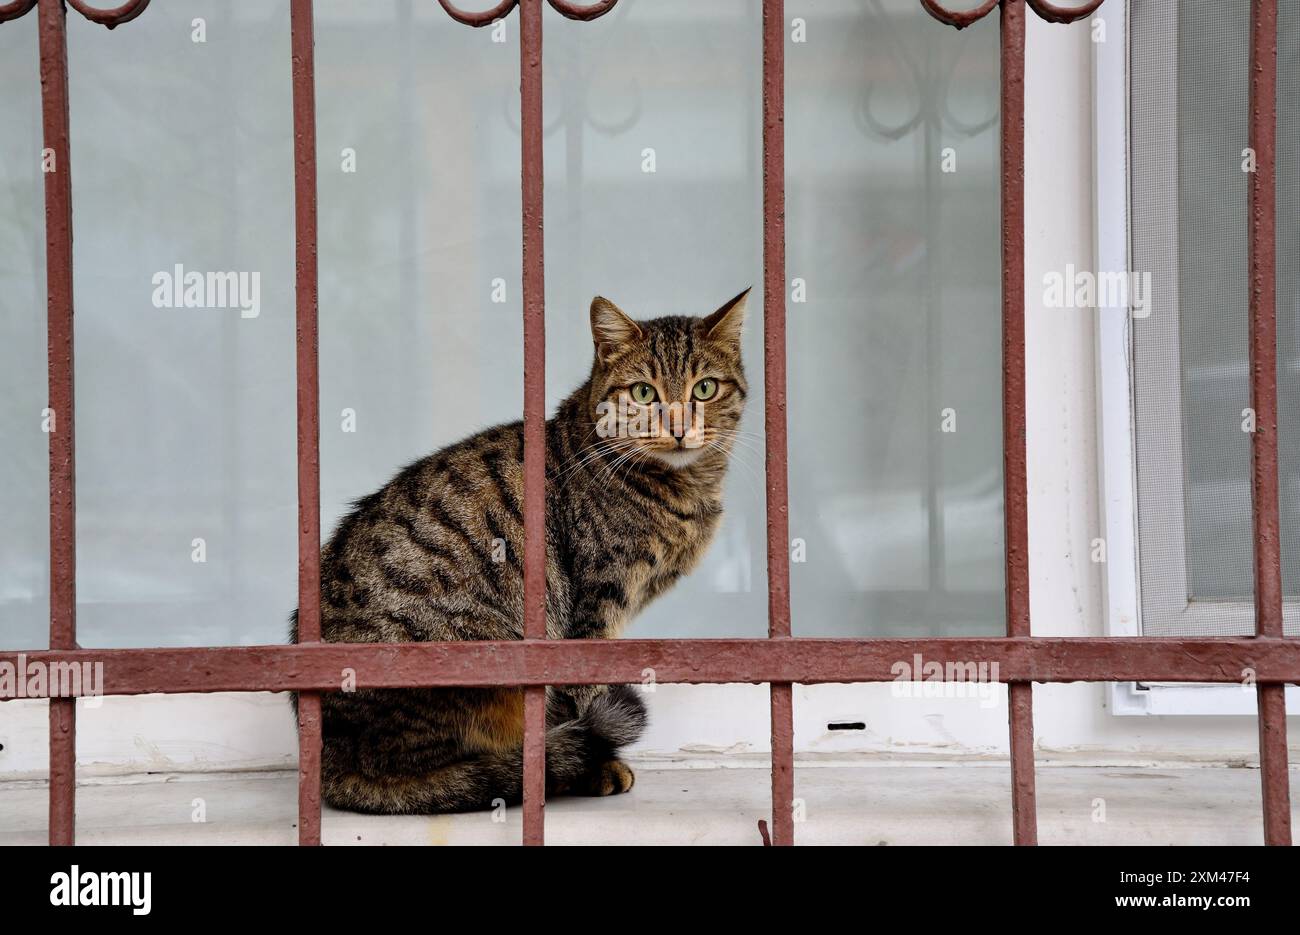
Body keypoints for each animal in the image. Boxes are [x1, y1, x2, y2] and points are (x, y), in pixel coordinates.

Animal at [288, 287, 748, 811]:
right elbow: (589, 688)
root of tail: (328, 758)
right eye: (644, 393)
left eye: (704, 389)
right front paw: (600, 765)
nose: (677, 426)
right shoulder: (597, 603)